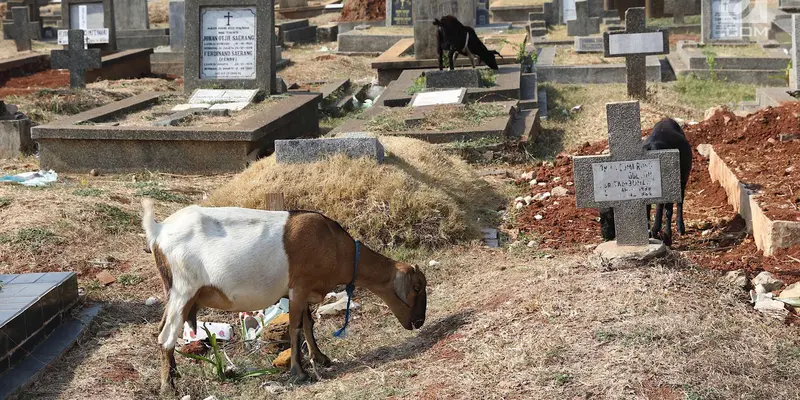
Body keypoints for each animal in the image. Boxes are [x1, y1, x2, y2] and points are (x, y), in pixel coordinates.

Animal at [141, 198, 428, 392]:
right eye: (416, 287)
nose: (419, 322)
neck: (334, 245)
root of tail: (158, 230)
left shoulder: (302, 291)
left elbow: (309, 324)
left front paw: (320, 358)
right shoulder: (298, 288)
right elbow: (296, 329)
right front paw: (299, 372)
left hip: (176, 292)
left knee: (162, 327)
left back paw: (174, 375)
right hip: (184, 288)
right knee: (166, 336)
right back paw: (168, 387)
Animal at [600, 116, 692, 247]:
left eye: (609, 216)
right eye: (601, 217)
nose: (605, 235)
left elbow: (667, 209)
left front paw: (665, 235)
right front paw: (651, 232)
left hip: (682, 179)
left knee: (678, 203)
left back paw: (679, 227)